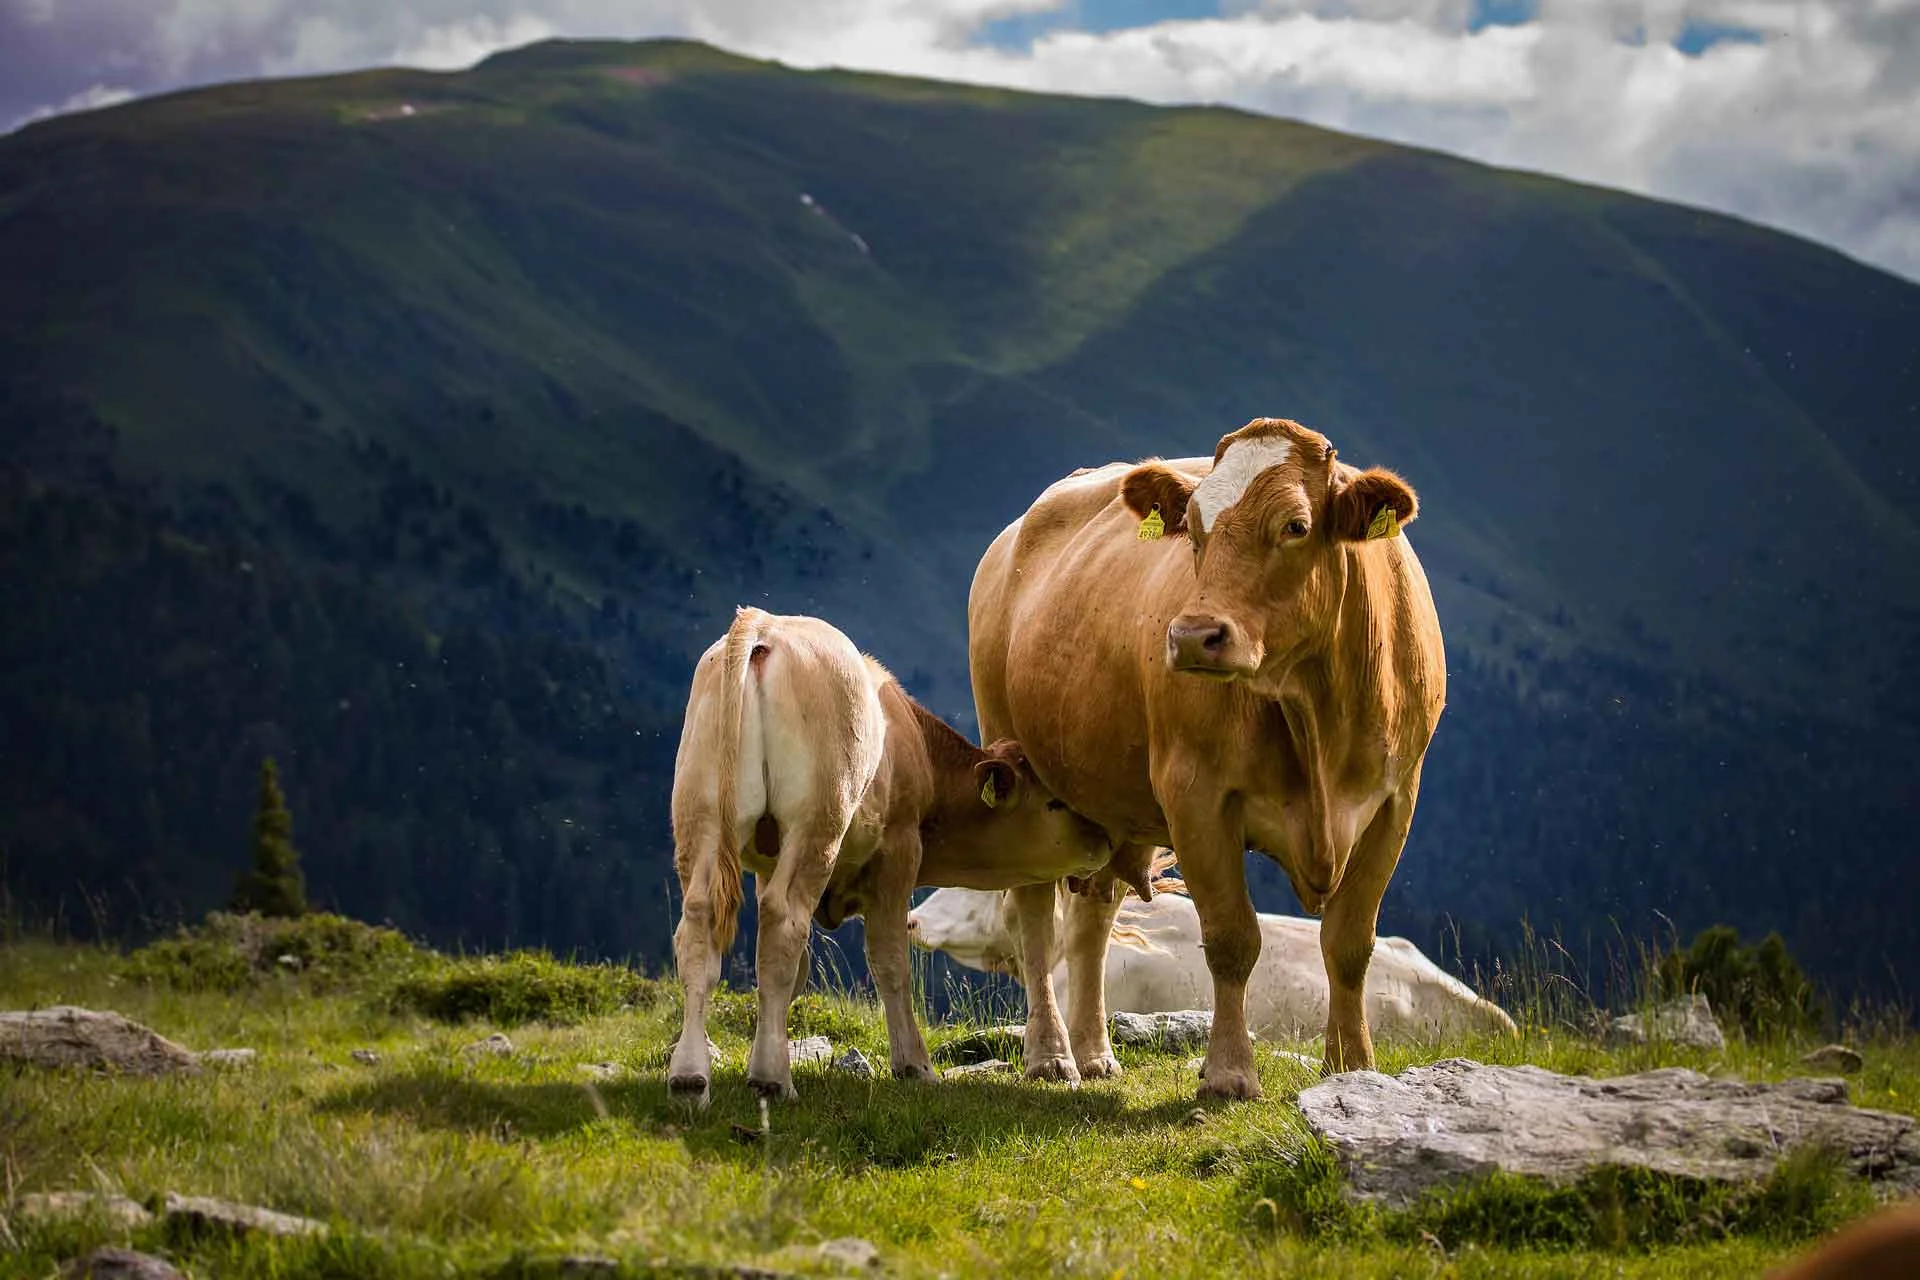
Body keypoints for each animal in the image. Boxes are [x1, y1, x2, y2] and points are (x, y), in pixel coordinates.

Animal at [668, 606, 1113, 1105]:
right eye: (1055, 802)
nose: (1105, 837)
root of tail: (765, 626)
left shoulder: (767, 863)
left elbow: (791, 972)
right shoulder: (899, 852)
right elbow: (890, 960)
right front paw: (914, 1064)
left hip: (700, 814)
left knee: (700, 924)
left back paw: (690, 1076)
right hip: (816, 822)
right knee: (784, 920)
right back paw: (771, 1078)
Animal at [967, 420, 1443, 1105]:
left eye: (1296, 525)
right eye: (1192, 527)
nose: (1193, 635)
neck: (1315, 708)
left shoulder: (1395, 801)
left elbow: (1350, 942)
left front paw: (1353, 1065)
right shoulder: (1196, 795)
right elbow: (1231, 939)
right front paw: (1229, 1073)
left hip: (1111, 803)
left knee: (1092, 918)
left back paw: (1094, 1053)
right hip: (1014, 758)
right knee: (1034, 916)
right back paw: (1051, 1055)